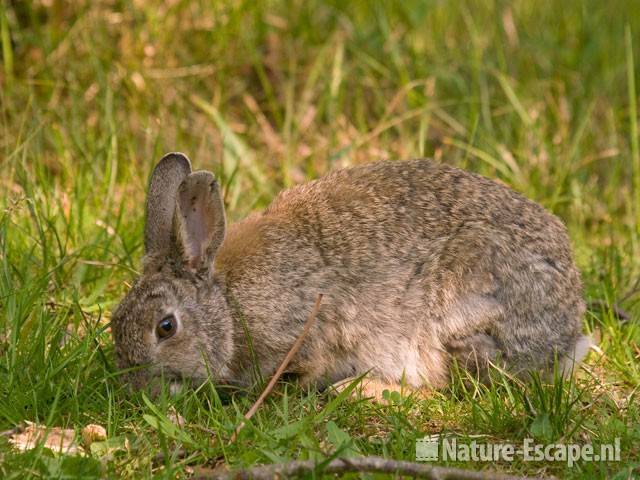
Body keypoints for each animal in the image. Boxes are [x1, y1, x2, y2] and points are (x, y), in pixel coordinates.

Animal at [112, 153, 592, 398]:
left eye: (166, 327)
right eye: (115, 322)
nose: (135, 387)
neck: (227, 305)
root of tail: (568, 327)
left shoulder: (305, 333)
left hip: (458, 318)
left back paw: (362, 391)